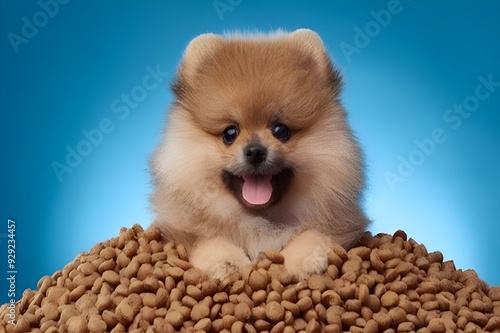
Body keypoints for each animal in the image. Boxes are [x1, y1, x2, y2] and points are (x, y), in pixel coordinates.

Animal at [150, 28, 370, 280]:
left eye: (281, 131)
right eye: (230, 133)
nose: (255, 151)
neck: (258, 220)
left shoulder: (342, 224)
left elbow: (314, 234)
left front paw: (303, 258)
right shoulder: (179, 229)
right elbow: (207, 241)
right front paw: (228, 262)